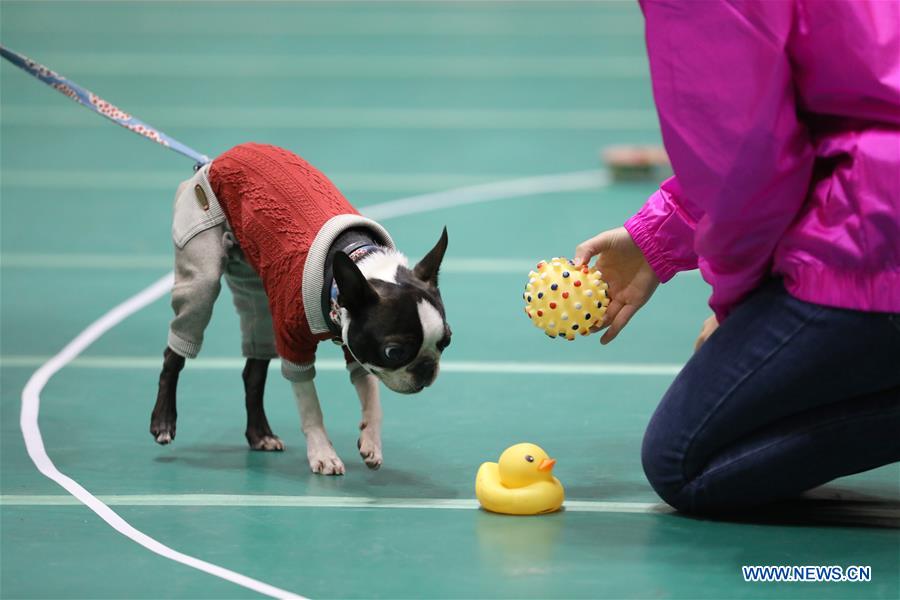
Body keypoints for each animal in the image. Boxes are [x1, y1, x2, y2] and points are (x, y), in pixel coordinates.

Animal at [152, 143, 458, 476]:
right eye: (394, 352)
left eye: (446, 342)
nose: (427, 368)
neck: (357, 261)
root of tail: (220, 158)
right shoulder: (294, 345)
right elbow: (311, 407)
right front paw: (323, 453)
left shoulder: (354, 343)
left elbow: (371, 395)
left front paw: (371, 441)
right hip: (201, 266)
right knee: (175, 350)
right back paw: (164, 420)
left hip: (259, 293)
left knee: (253, 370)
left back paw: (260, 434)